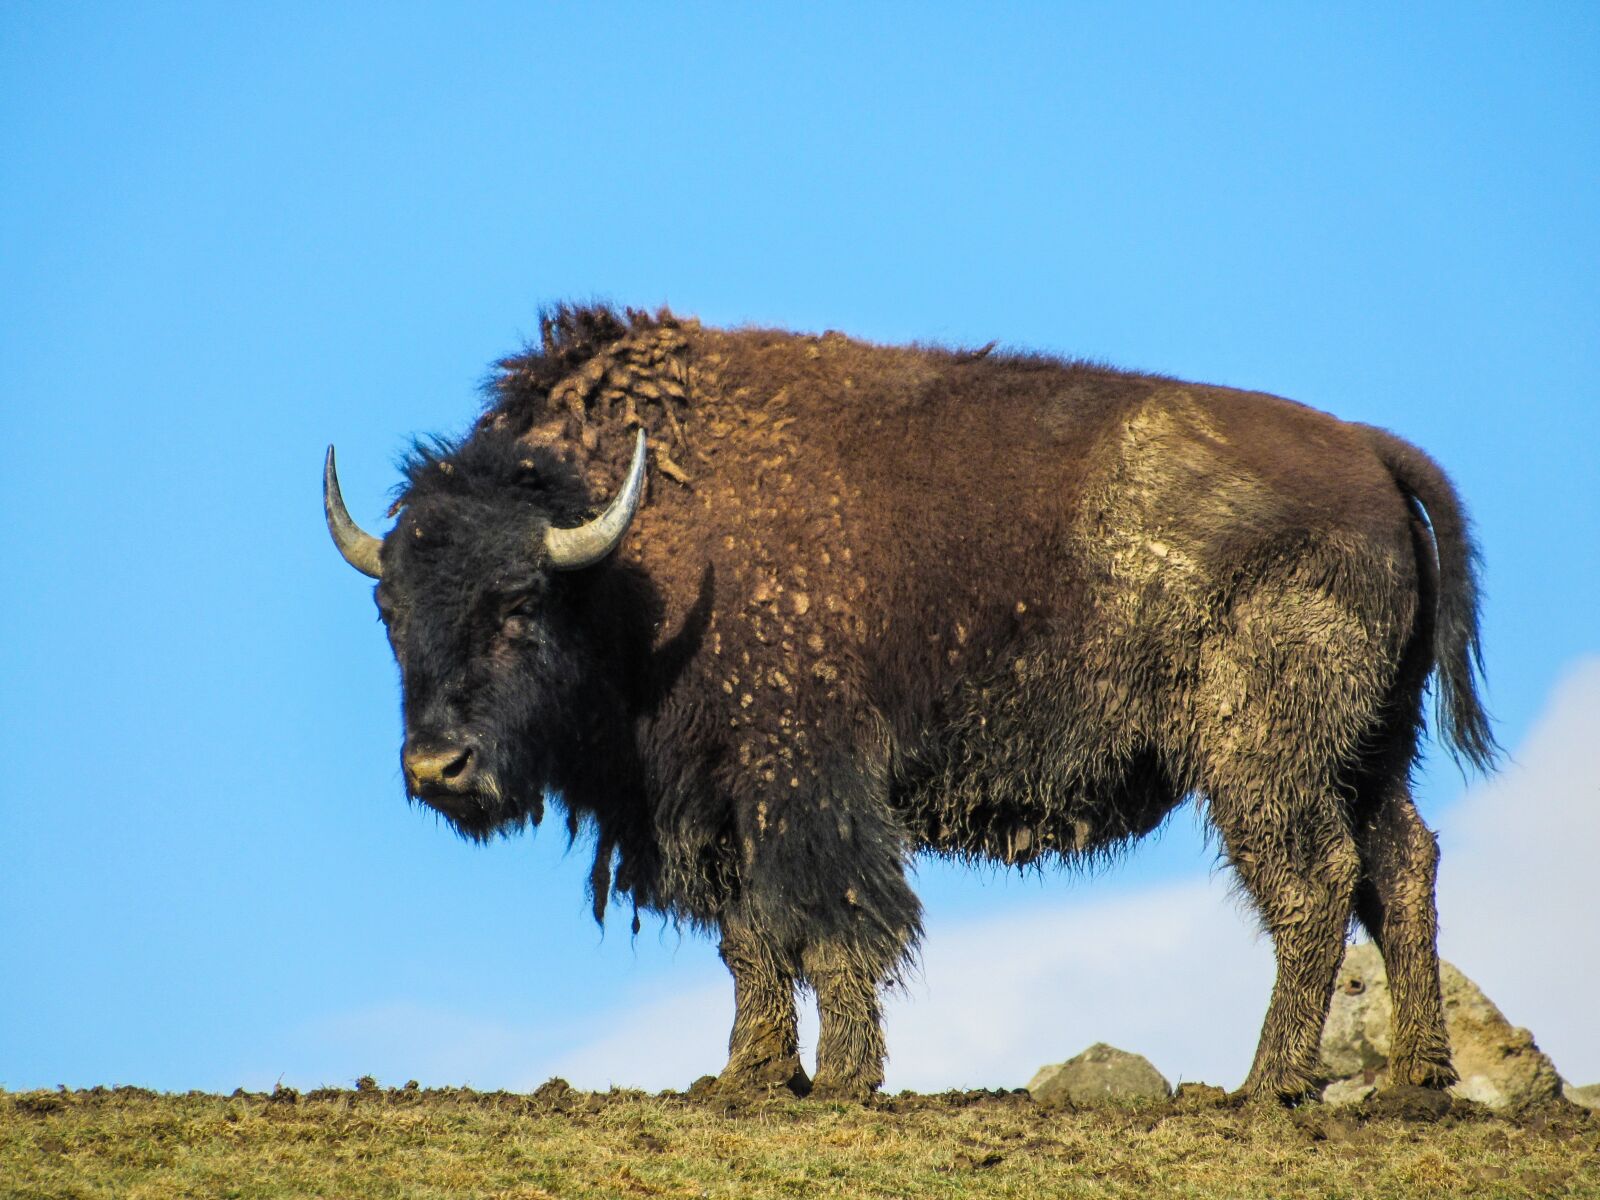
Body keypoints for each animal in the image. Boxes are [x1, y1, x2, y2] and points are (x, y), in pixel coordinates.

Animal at [328, 305, 1497, 1107]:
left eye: (520, 601)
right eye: (388, 607)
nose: (436, 767)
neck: (635, 546)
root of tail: (1366, 450)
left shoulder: (803, 783)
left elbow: (832, 929)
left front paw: (843, 1078)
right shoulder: (713, 804)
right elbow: (751, 942)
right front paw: (747, 1079)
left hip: (1259, 758)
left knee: (1315, 880)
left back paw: (1266, 1084)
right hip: (1370, 750)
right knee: (1400, 864)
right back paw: (1414, 1080)